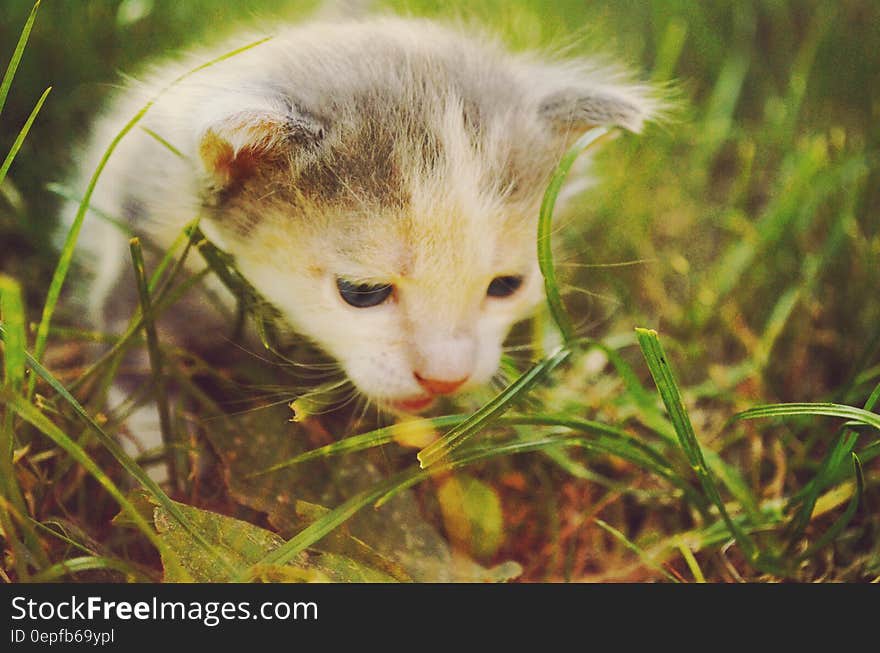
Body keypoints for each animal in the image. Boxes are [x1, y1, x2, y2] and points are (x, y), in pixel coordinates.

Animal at [67, 15, 660, 416]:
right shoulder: (140, 223)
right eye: (362, 292)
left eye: (506, 286)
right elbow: (132, 338)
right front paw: (155, 453)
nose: (445, 379)